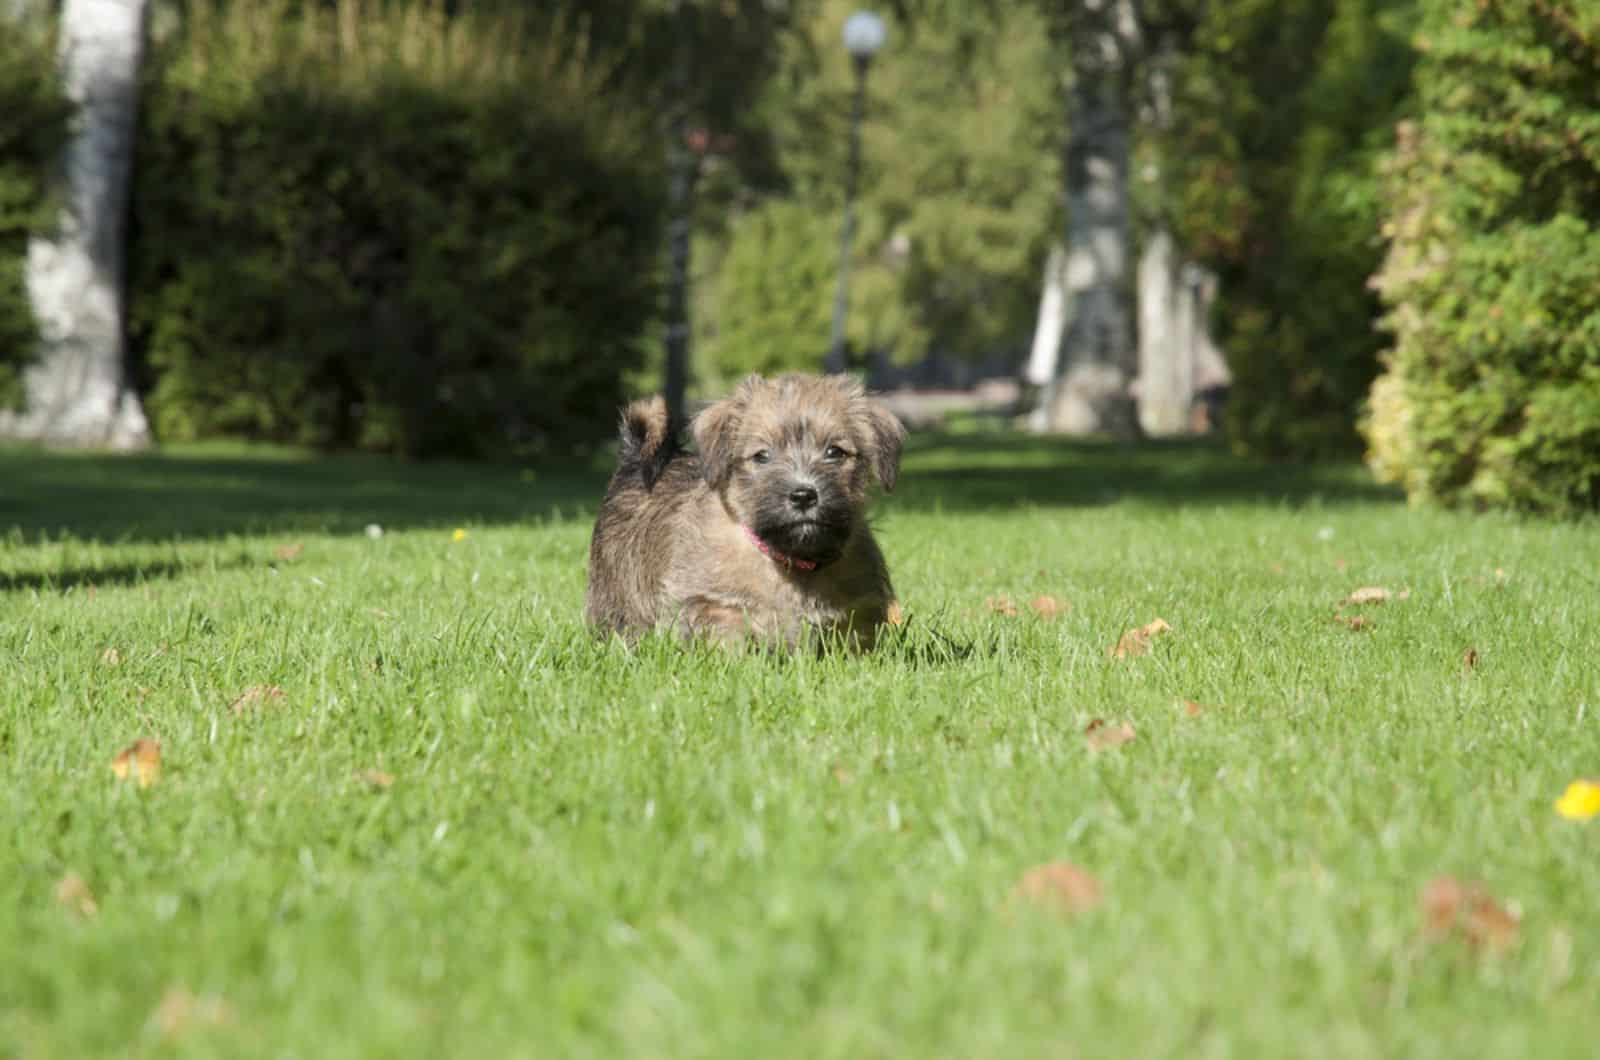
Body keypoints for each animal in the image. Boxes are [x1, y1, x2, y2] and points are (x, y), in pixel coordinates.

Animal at [585, 373, 908, 656]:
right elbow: (731, 640)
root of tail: (634, 459)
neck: (790, 562)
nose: (803, 495)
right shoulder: (712, 603)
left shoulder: (859, 611)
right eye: (762, 456)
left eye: (835, 452)